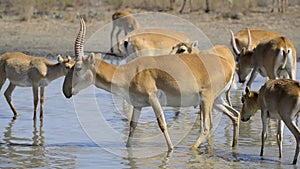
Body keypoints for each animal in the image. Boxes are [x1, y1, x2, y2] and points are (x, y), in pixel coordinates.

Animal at [62, 18, 240, 151]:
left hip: (206, 100)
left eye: (78, 67)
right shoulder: (138, 105)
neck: (131, 71)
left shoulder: (153, 100)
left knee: (207, 127)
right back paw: (234, 147)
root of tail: (228, 64)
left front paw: (171, 150)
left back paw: (192, 150)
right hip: (216, 101)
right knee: (235, 115)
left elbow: (162, 124)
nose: (66, 91)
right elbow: (132, 127)